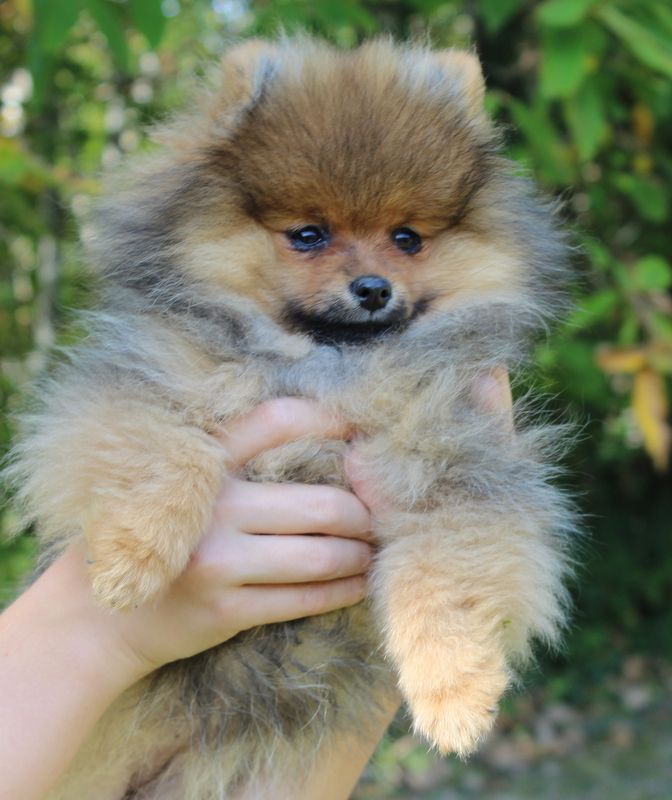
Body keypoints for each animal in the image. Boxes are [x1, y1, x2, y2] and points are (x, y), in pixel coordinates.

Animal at [8, 37, 574, 799]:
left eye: (407, 238)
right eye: (308, 235)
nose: (372, 288)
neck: (324, 366)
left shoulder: (456, 461)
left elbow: (446, 577)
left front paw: (454, 693)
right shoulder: (131, 384)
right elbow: (164, 446)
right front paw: (134, 557)